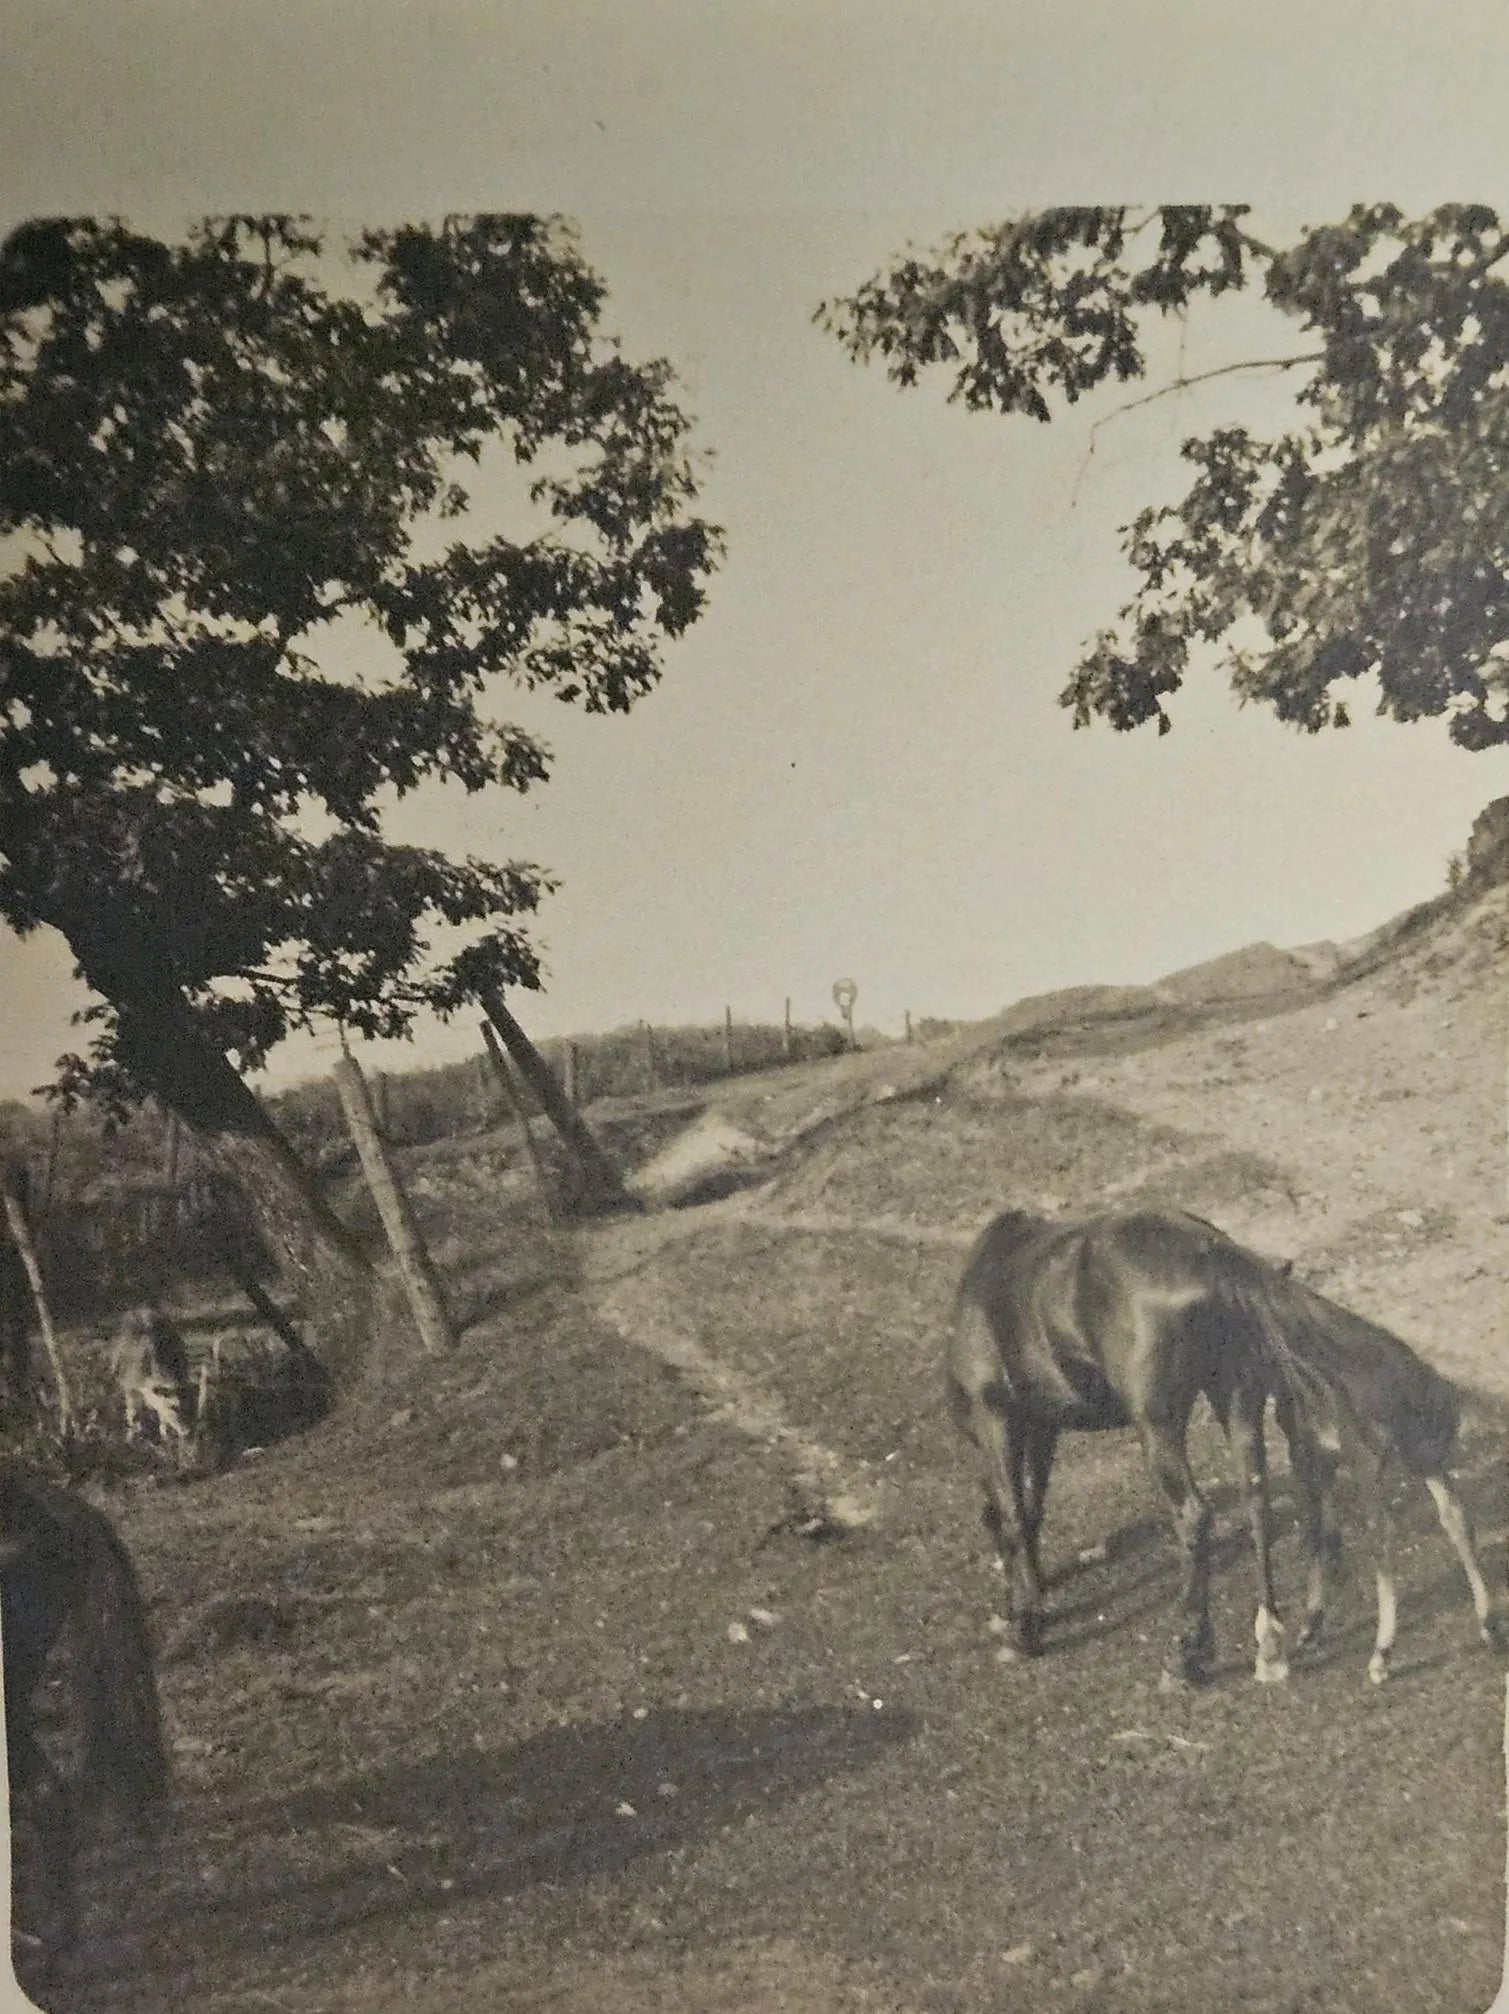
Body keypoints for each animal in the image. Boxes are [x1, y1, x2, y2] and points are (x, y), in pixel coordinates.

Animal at [946, 1206, 1506, 1689]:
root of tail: (1209, 1250)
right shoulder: (1041, 1425)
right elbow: (1031, 1509)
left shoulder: (998, 1417)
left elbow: (1013, 1514)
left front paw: (1025, 1628)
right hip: (1236, 1397)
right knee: (1258, 1499)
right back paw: (1272, 1645)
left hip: (1160, 1422)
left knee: (1196, 1516)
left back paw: (1186, 1655)